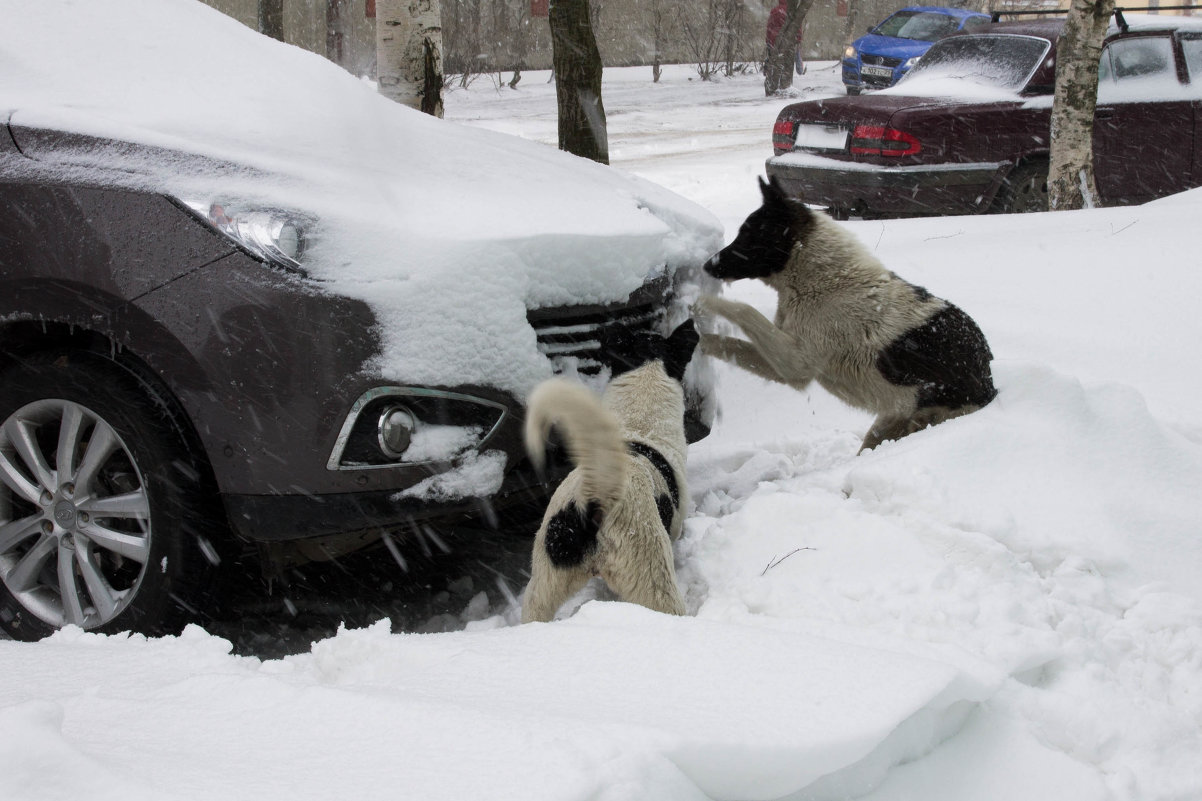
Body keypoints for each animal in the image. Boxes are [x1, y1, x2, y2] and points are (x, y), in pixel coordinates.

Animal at [697, 176, 995, 449]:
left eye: (748, 235)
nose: (707, 266)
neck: (822, 281)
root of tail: (990, 386)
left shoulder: (796, 362)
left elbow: (743, 309)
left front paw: (701, 301)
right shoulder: (784, 367)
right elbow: (725, 343)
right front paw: (695, 342)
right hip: (883, 428)